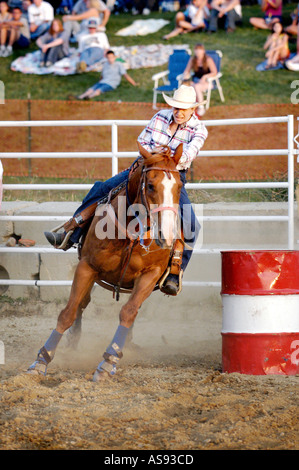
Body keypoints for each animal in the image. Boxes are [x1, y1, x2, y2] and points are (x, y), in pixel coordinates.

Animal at [27, 141, 184, 380]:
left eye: (179, 187)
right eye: (150, 185)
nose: (166, 236)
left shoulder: (151, 274)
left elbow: (128, 313)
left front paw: (108, 362)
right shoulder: (87, 267)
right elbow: (68, 313)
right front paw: (41, 361)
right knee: (81, 305)